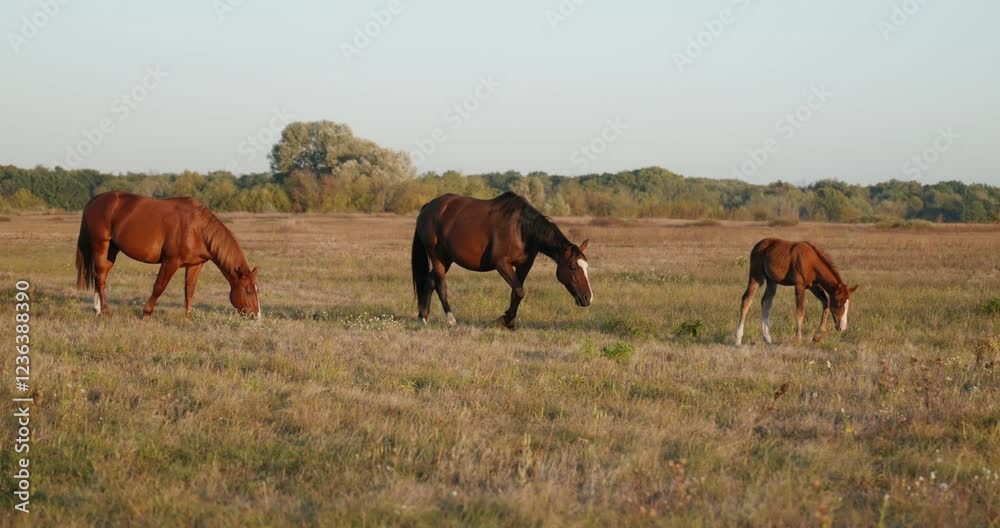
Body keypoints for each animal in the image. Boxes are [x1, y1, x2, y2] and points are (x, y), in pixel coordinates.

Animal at [75, 191, 261, 319]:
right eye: (248, 291)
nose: (257, 316)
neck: (197, 228)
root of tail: (95, 200)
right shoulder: (171, 262)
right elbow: (159, 287)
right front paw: (146, 314)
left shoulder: (195, 265)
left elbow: (189, 290)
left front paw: (187, 318)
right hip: (101, 246)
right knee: (100, 278)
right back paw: (106, 311)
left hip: (111, 250)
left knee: (100, 277)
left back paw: (98, 310)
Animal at [411, 192, 592, 329]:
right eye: (573, 267)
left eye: (586, 267)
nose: (587, 298)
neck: (521, 228)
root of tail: (428, 207)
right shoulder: (501, 264)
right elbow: (519, 291)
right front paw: (504, 320)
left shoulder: (524, 266)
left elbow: (516, 292)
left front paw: (509, 323)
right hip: (437, 257)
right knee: (441, 285)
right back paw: (450, 320)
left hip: (446, 258)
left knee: (430, 281)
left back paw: (422, 318)